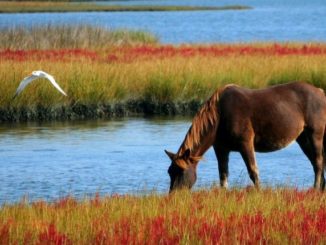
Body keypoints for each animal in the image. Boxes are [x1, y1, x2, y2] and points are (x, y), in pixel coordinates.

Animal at [166, 82, 326, 191]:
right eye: (169, 172)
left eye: (181, 171)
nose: (174, 195)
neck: (219, 116)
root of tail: (320, 92)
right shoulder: (221, 148)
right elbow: (223, 174)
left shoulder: (246, 143)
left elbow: (253, 171)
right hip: (302, 138)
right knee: (316, 162)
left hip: (315, 135)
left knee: (318, 162)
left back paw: (315, 188)